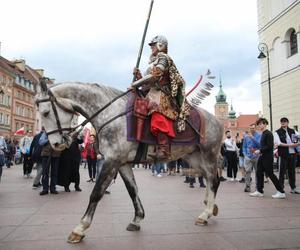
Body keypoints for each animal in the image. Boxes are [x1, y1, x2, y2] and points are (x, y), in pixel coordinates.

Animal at [35, 79, 223, 243]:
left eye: (46, 112)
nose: (56, 144)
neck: (110, 114)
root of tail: (217, 120)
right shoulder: (122, 163)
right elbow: (132, 190)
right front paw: (137, 219)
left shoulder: (112, 161)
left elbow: (96, 193)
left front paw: (79, 229)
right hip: (193, 156)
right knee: (208, 177)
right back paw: (210, 206)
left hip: (209, 153)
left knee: (213, 179)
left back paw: (205, 214)